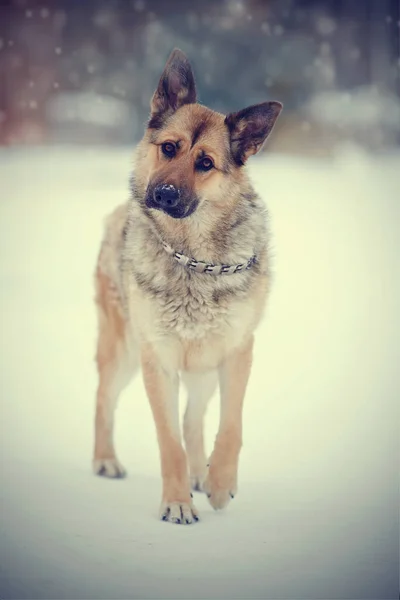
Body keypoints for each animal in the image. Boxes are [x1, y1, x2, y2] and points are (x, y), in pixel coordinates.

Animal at [92, 49, 282, 524]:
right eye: (169, 148)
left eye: (206, 163)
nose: (162, 194)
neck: (194, 257)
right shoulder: (156, 360)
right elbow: (169, 441)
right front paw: (177, 502)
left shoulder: (236, 352)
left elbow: (230, 426)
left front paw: (219, 484)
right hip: (124, 352)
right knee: (104, 399)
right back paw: (105, 459)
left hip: (203, 368)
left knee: (194, 419)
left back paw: (203, 474)